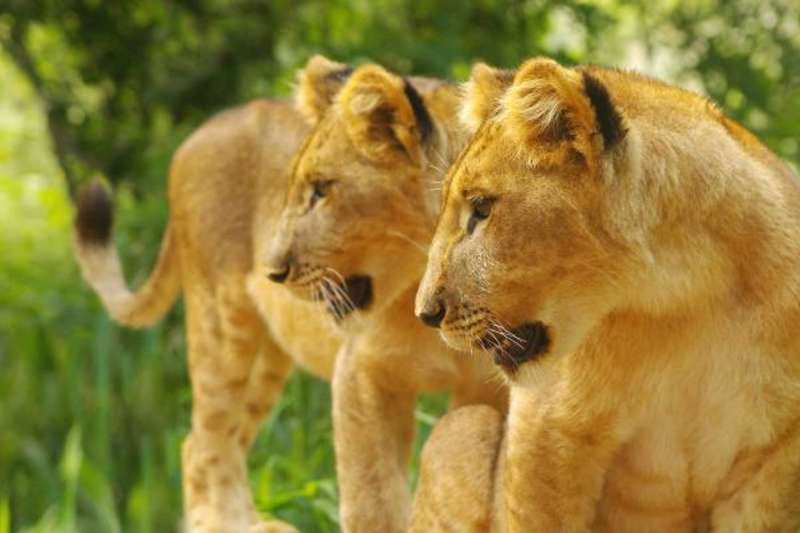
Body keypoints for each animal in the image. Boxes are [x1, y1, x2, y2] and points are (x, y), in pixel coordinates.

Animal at [75, 55, 506, 533]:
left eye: (321, 190)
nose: (272, 271)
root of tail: (201, 132)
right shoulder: (361, 375)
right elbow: (372, 500)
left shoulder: (488, 389)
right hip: (220, 326)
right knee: (204, 445)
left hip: (267, 360)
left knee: (224, 440)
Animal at [413, 58, 800, 532]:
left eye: (482, 209)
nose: (425, 313)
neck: (686, 301)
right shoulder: (549, 433)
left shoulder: (772, 462)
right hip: (464, 429)